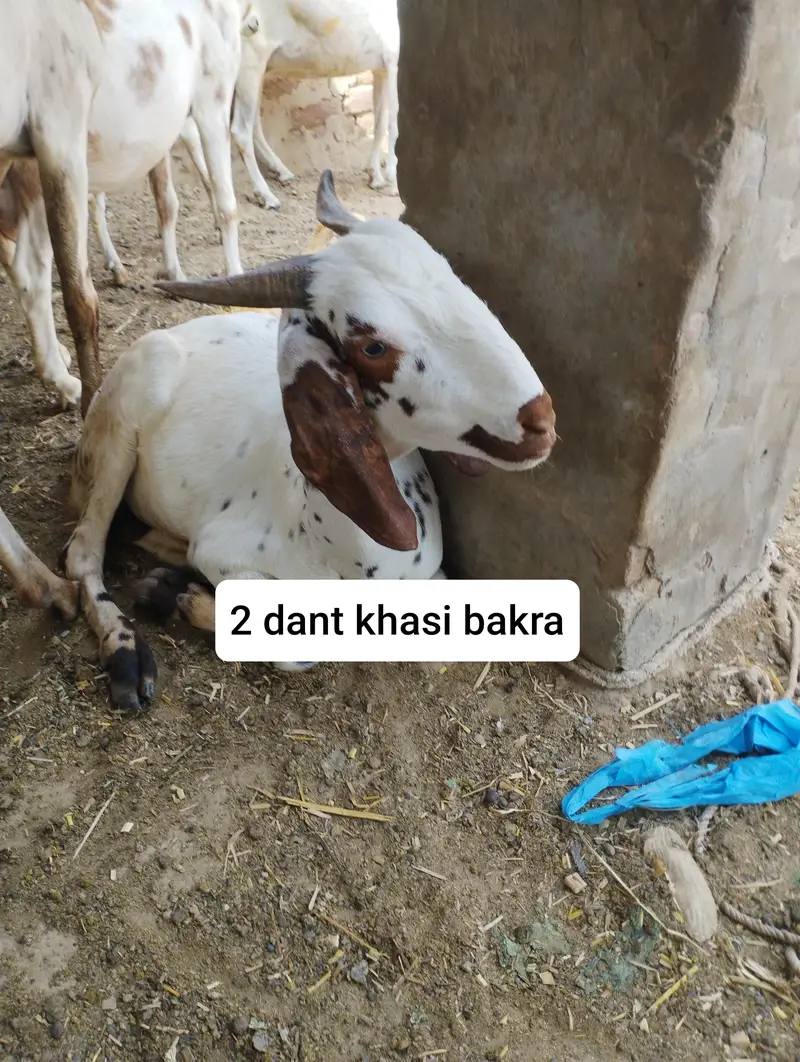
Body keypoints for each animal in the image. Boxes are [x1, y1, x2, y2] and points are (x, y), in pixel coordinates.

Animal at [63, 171, 556, 711]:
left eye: (454, 279)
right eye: (373, 347)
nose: (540, 419)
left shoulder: (431, 574)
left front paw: (174, 588)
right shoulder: (223, 553)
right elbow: (293, 648)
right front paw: (178, 597)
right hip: (122, 421)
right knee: (82, 554)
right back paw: (128, 654)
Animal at [229, 0, 400, 209]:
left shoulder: (381, 69)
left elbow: (379, 124)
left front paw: (376, 178)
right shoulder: (393, 60)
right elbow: (393, 125)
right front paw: (393, 183)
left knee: (253, 124)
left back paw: (283, 172)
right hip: (250, 58)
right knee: (241, 129)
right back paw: (268, 196)